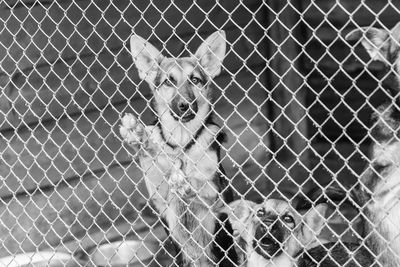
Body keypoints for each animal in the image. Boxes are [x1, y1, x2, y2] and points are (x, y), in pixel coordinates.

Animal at [119, 30, 238, 266]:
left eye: (195, 80)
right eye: (168, 82)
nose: (185, 105)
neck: (182, 145)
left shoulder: (216, 198)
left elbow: (200, 182)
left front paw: (185, 181)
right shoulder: (159, 198)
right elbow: (151, 154)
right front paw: (136, 133)